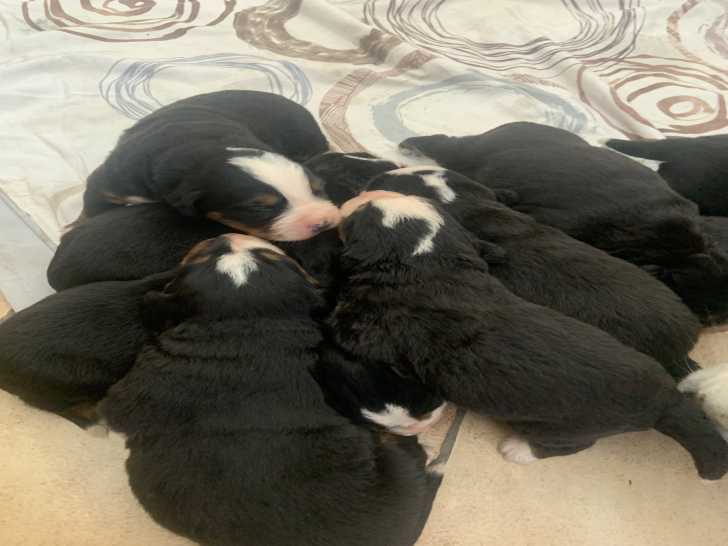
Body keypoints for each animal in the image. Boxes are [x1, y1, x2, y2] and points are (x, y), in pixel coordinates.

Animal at [329, 191, 728, 480]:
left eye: (359, 214)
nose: (358, 195)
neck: (423, 261)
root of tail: (666, 398)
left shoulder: (376, 325)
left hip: (570, 427)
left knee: (570, 446)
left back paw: (518, 449)